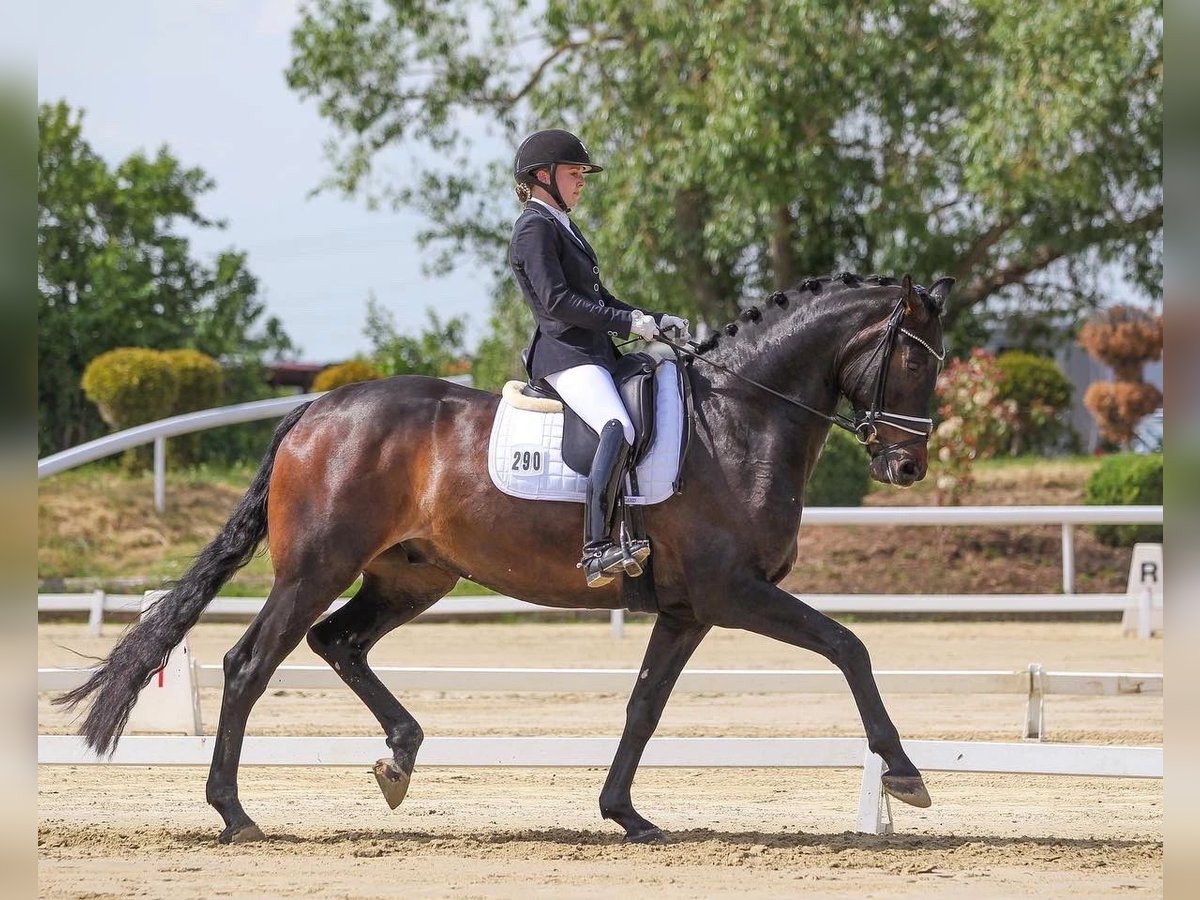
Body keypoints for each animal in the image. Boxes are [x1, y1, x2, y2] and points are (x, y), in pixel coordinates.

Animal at [56, 270, 955, 844]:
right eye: (915, 357)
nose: (907, 467)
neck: (738, 420)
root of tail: (317, 408)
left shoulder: (687, 609)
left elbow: (644, 706)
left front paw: (626, 815)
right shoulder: (732, 591)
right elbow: (849, 645)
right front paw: (905, 775)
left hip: (412, 574)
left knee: (338, 642)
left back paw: (399, 758)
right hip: (315, 569)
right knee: (252, 663)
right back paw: (235, 814)